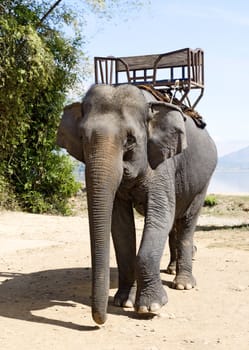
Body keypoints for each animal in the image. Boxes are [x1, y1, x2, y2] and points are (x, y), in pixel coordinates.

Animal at [57, 83, 218, 324]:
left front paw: (150, 307)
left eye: (130, 140)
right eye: (82, 137)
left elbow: (160, 214)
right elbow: (120, 225)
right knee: (175, 223)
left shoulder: (162, 163)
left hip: (203, 180)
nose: (99, 321)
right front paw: (123, 301)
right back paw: (171, 270)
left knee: (187, 221)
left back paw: (183, 283)